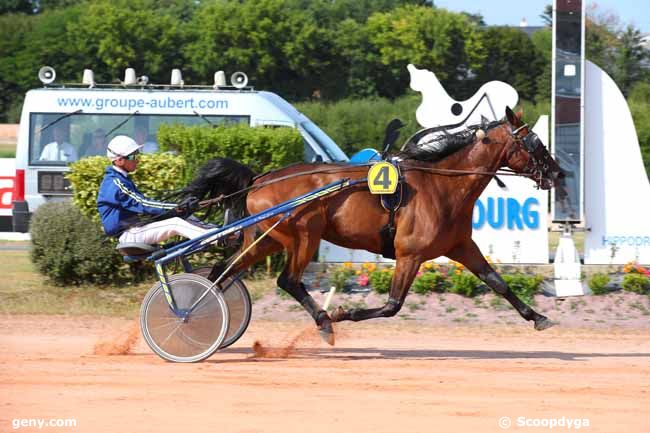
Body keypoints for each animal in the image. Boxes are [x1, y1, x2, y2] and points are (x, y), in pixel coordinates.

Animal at [181, 106, 560, 342]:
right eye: (535, 143)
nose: (557, 173)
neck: (441, 185)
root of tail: (259, 178)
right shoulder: (410, 254)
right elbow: (393, 306)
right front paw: (341, 313)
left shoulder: (460, 246)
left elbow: (498, 282)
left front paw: (538, 317)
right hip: (303, 235)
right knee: (287, 280)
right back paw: (323, 322)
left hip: (266, 238)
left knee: (223, 272)